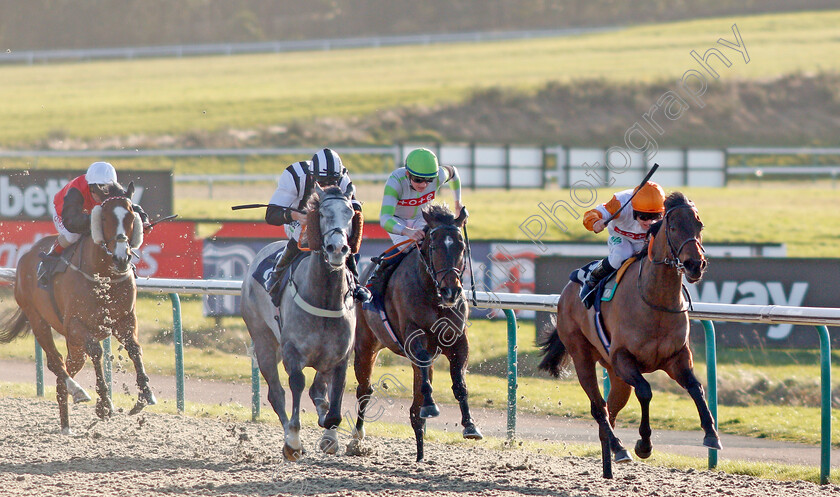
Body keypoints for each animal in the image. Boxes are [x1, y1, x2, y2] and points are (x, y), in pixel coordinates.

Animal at [0, 183, 156, 434]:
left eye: (132, 216)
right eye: (104, 217)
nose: (122, 258)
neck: (103, 275)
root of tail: (25, 257)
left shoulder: (125, 319)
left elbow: (134, 348)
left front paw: (145, 395)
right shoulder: (75, 325)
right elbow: (97, 351)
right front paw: (104, 405)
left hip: (74, 345)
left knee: (65, 370)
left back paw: (66, 423)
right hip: (38, 320)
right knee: (56, 363)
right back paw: (78, 392)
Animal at [241, 183, 362, 462]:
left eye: (350, 213)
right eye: (323, 213)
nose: (337, 248)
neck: (325, 299)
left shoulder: (339, 355)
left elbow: (334, 400)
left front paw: (330, 434)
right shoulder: (291, 351)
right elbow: (297, 383)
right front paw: (294, 441)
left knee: (318, 390)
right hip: (263, 340)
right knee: (276, 394)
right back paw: (289, 437)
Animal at [356, 203, 486, 460]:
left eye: (461, 246)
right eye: (434, 247)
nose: (451, 291)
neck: (433, 295)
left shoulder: (458, 340)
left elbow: (459, 383)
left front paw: (470, 425)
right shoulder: (413, 334)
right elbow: (425, 378)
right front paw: (431, 405)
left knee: (414, 406)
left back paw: (420, 449)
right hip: (365, 344)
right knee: (364, 389)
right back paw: (354, 440)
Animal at [540, 191, 720, 476]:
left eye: (699, 226)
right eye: (673, 227)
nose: (695, 265)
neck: (654, 302)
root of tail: (568, 288)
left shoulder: (677, 357)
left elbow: (696, 387)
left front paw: (711, 433)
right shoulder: (624, 358)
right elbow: (645, 391)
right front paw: (644, 444)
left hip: (615, 373)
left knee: (610, 409)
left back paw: (610, 456)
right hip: (583, 356)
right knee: (599, 407)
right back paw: (619, 447)